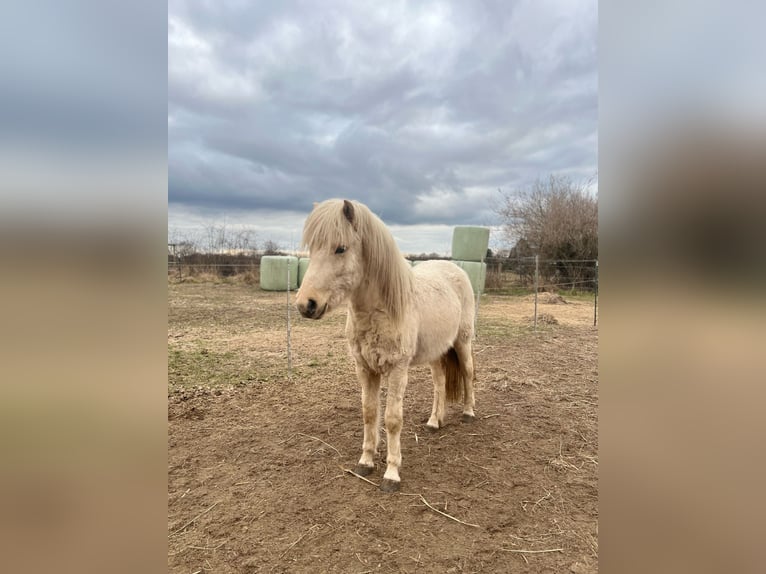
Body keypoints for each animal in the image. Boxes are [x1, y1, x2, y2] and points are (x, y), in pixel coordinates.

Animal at [295, 199, 476, 493]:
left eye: (341, 248)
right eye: (313, 248)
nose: (306, 304)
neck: (380, 310)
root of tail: (455, 269)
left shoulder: (397, 369)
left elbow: (392, 419)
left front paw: (391, 474)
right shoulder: (365, 368)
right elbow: (369, 413)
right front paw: (366, 461)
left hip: (462, 341)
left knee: (469, 374)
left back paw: (469, 412)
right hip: (436, 351)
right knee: (439, 383)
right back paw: (434, 422)